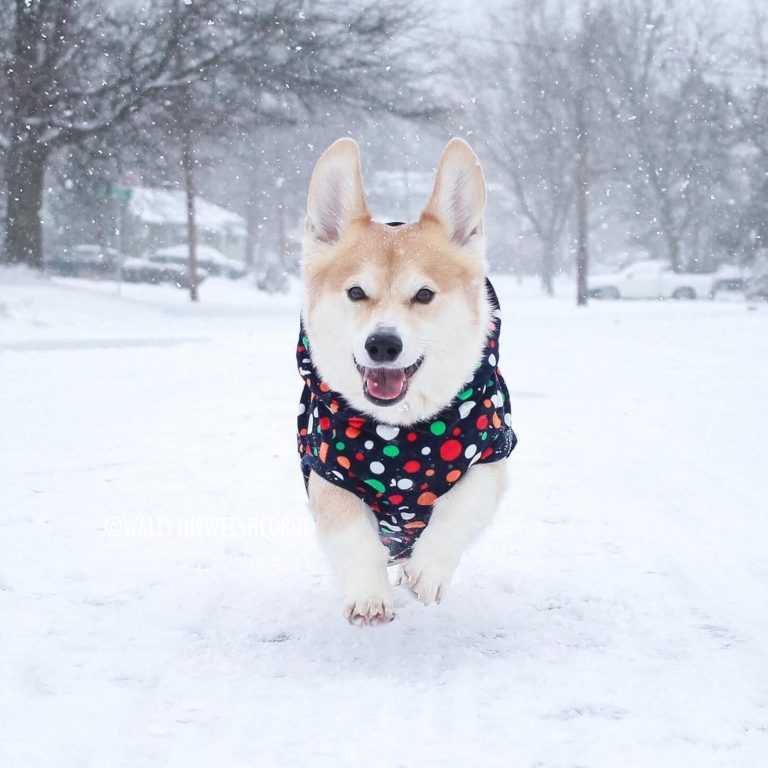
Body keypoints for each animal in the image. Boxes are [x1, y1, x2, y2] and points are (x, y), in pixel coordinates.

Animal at [296, 140, 520, 624]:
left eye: (424, 295)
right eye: (356, 292)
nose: (383, 344)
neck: (399, 434)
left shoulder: (490, 457)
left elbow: (457, 510)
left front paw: (428, 573)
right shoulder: (326, 473)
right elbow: (353, 536)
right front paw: (368, 595)